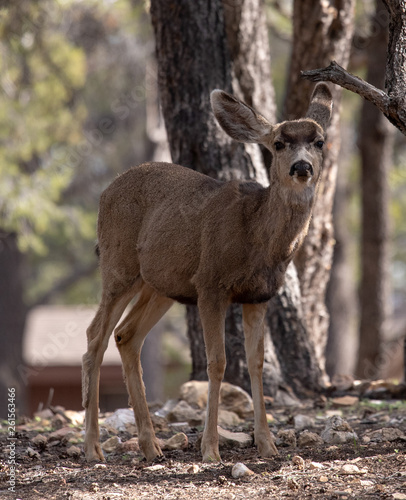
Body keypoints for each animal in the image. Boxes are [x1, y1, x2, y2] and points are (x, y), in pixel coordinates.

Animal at [82, 83, 334, 464]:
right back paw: (93, 447)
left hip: (161, 284)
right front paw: (211, 449)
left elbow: (256, 362)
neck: (257, 238)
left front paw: (267, 444)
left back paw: (151, 446)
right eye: (278, 143)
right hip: (118, 264)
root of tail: (104, 192)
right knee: (95, 335)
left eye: (319, 141)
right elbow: (218, 362)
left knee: (126, 335)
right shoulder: (210, 284)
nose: (301, 167)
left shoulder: (259, 295)